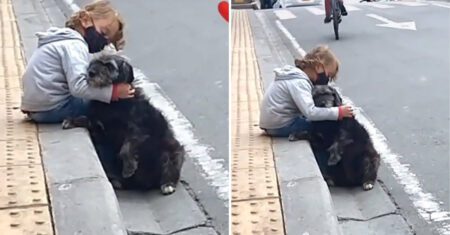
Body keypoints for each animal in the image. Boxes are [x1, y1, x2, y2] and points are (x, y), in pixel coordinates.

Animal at [61, 53, 185, 195]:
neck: (112, 104)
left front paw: (129, 167)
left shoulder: (137, 132)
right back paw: (116, 181)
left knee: (170, 167)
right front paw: (71, 120)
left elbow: (125, 148)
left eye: (109, 66)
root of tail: (145, 184)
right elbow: (85, 119)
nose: (90, 73)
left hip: (171, 150)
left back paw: (167, 184)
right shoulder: (100, 129)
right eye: (93, 63)